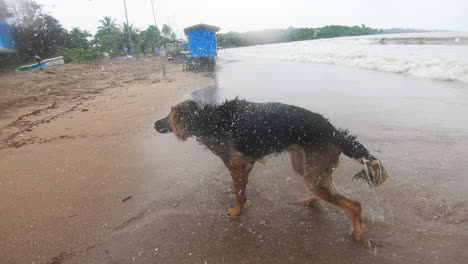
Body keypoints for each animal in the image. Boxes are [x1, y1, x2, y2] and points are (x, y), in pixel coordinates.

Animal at [154, 98, 388, 240]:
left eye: (169, 116)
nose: (155, 124)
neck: (210, 119)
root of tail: (335, 133)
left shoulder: (236, 165)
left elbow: (239, 193)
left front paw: (237, 211)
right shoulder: (244, 165)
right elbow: (242, 192)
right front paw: (240, 208)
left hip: (313, 172)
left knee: (354, 205)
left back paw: (358, 234)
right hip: (306, 168)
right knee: (326, 190)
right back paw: (310, 201)